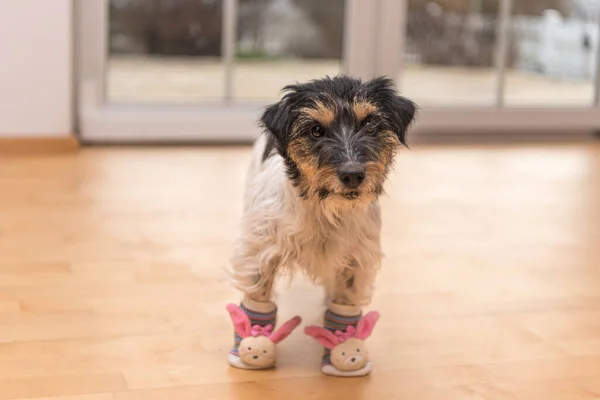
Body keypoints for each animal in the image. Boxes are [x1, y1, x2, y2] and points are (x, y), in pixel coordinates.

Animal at [227, 74, 414, 376]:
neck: (325, 209)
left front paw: (343, 349)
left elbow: (345, 305)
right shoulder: (261, 253)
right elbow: (259, 296)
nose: (352, 174)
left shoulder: (355, 262)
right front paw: (252, 345)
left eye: (370, 125)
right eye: (316, 130)